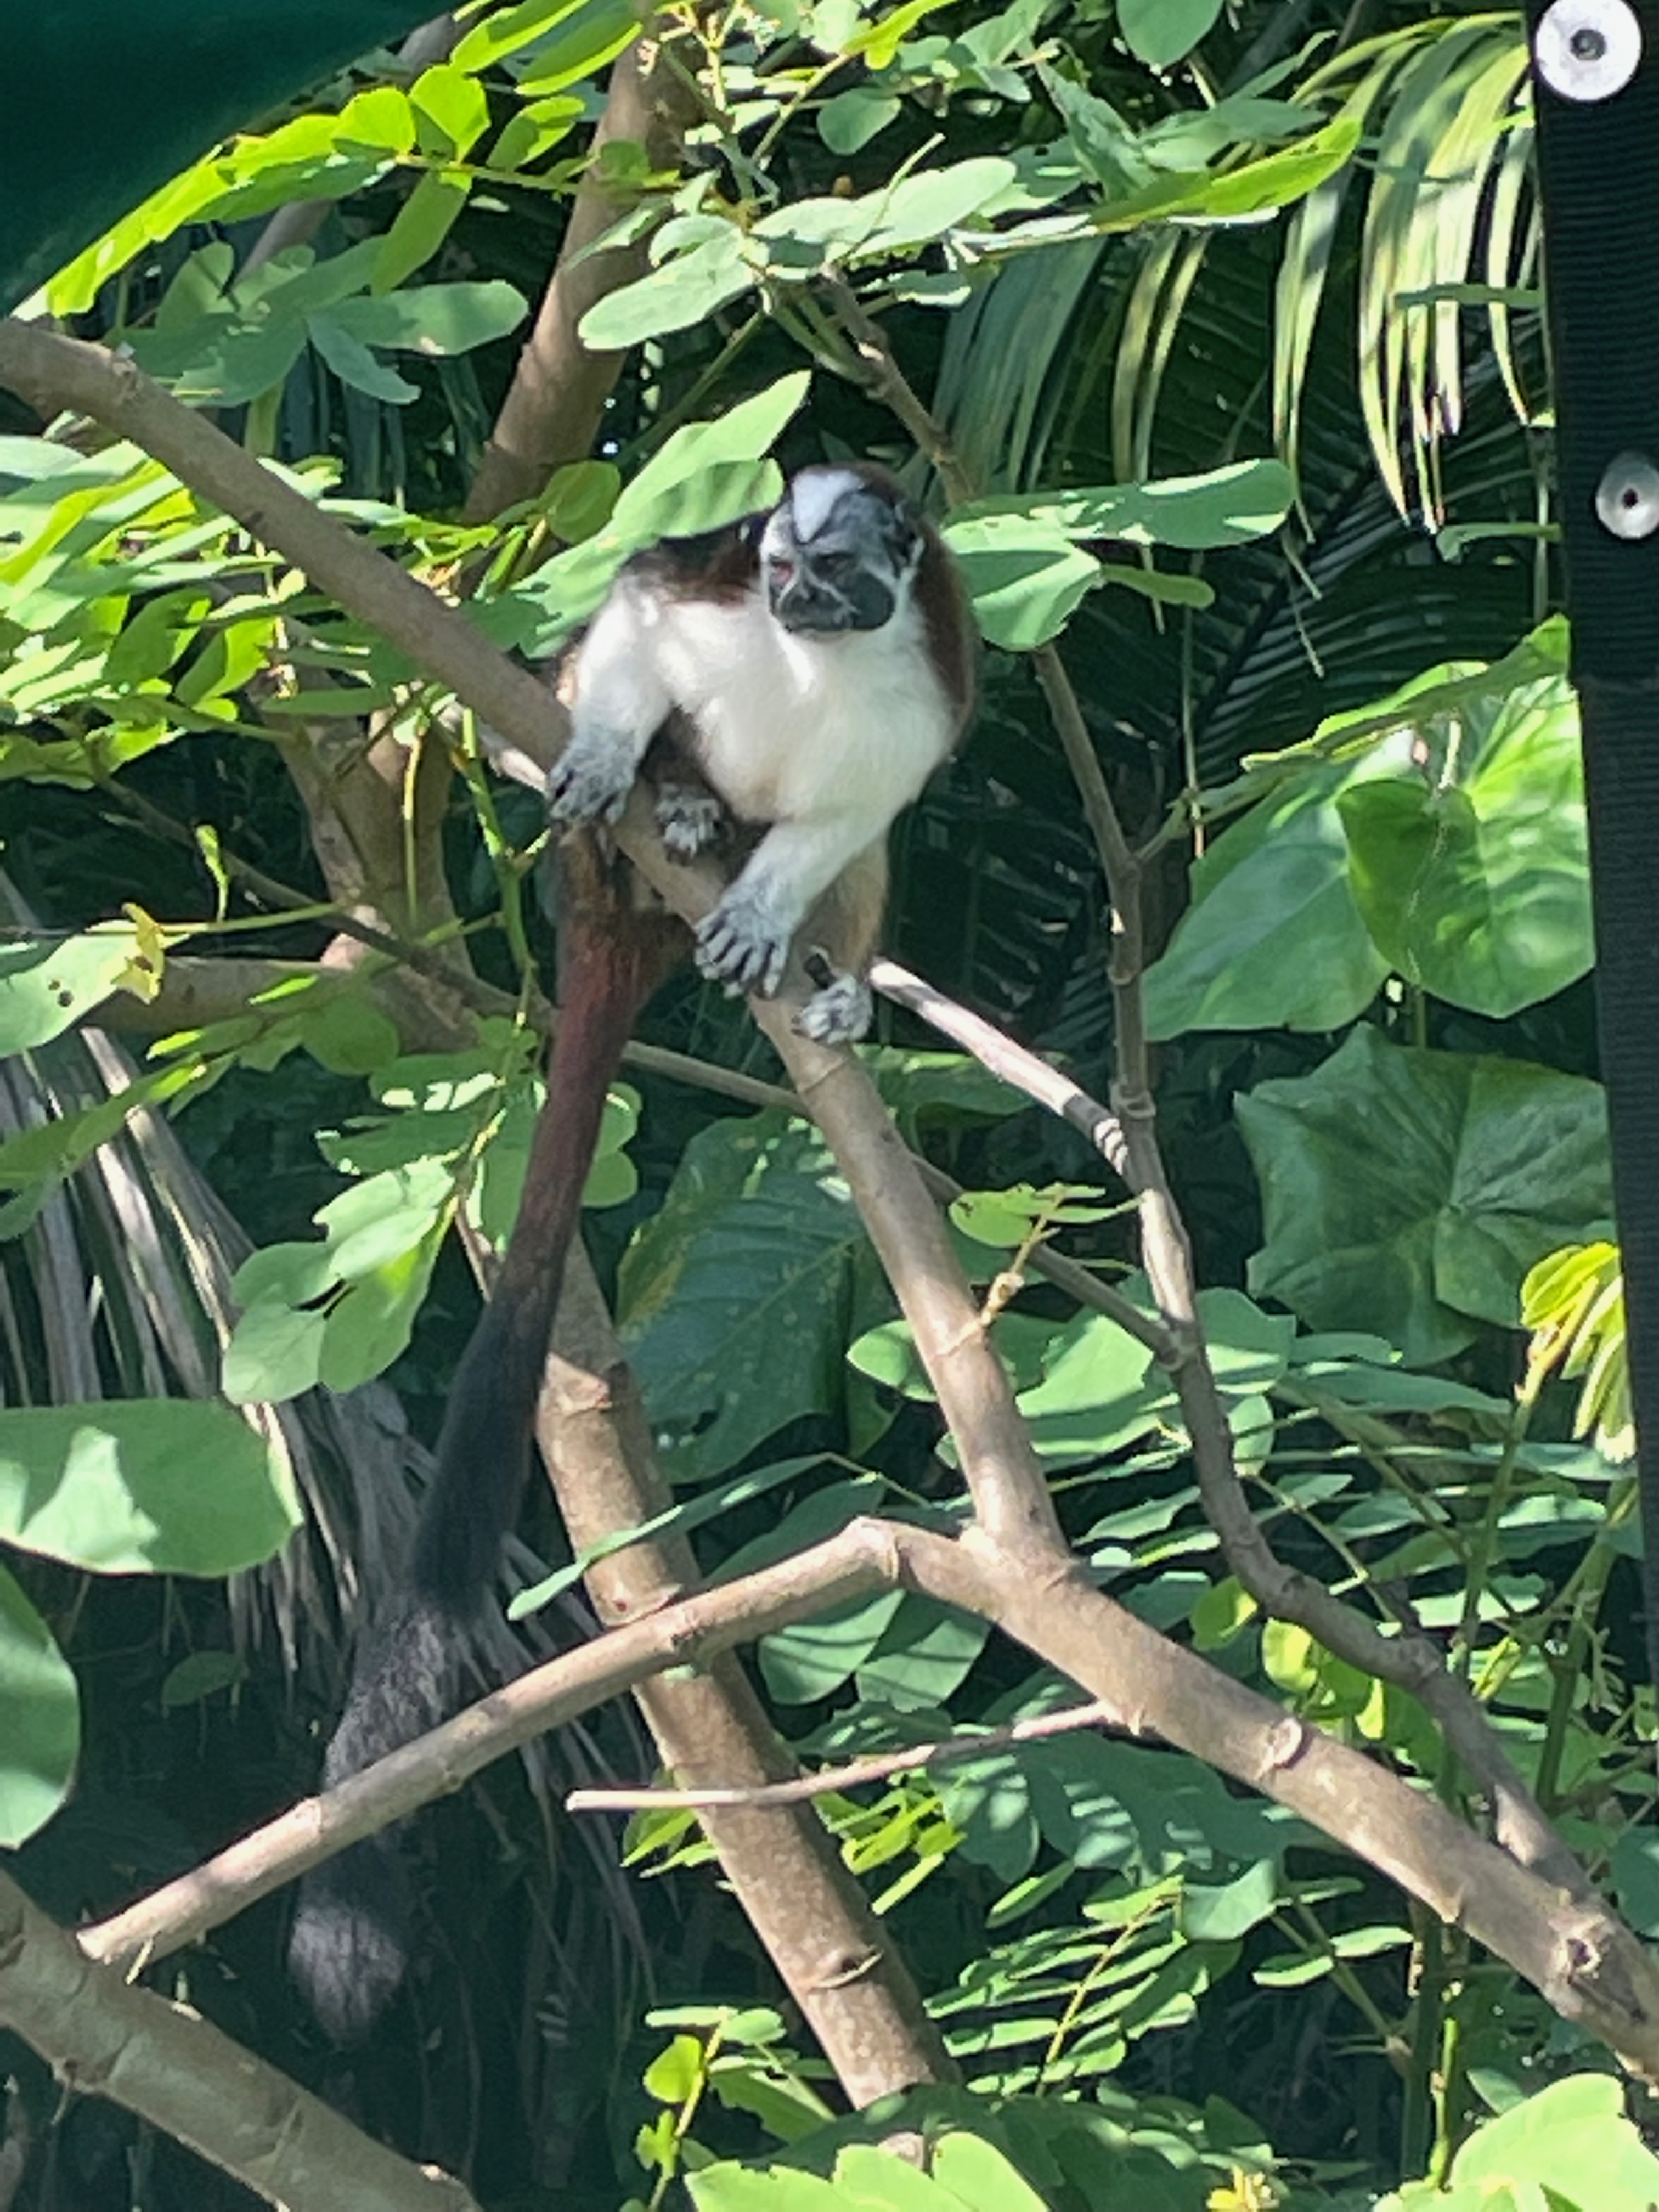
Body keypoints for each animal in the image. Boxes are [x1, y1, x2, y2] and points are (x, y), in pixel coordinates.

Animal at [287, 465, 974, 2041]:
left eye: (836, 575)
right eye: (779, 565)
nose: (793, 599)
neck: (831, 656)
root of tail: (615, 923)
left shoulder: (931, 679)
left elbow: (855, 814)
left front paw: (779, 915)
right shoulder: (704, 587)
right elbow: (640, 613)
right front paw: (611, 747)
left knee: (859, 856)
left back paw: (828, 986)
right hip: (585, 872)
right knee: (612, 741)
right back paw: (664, 803)